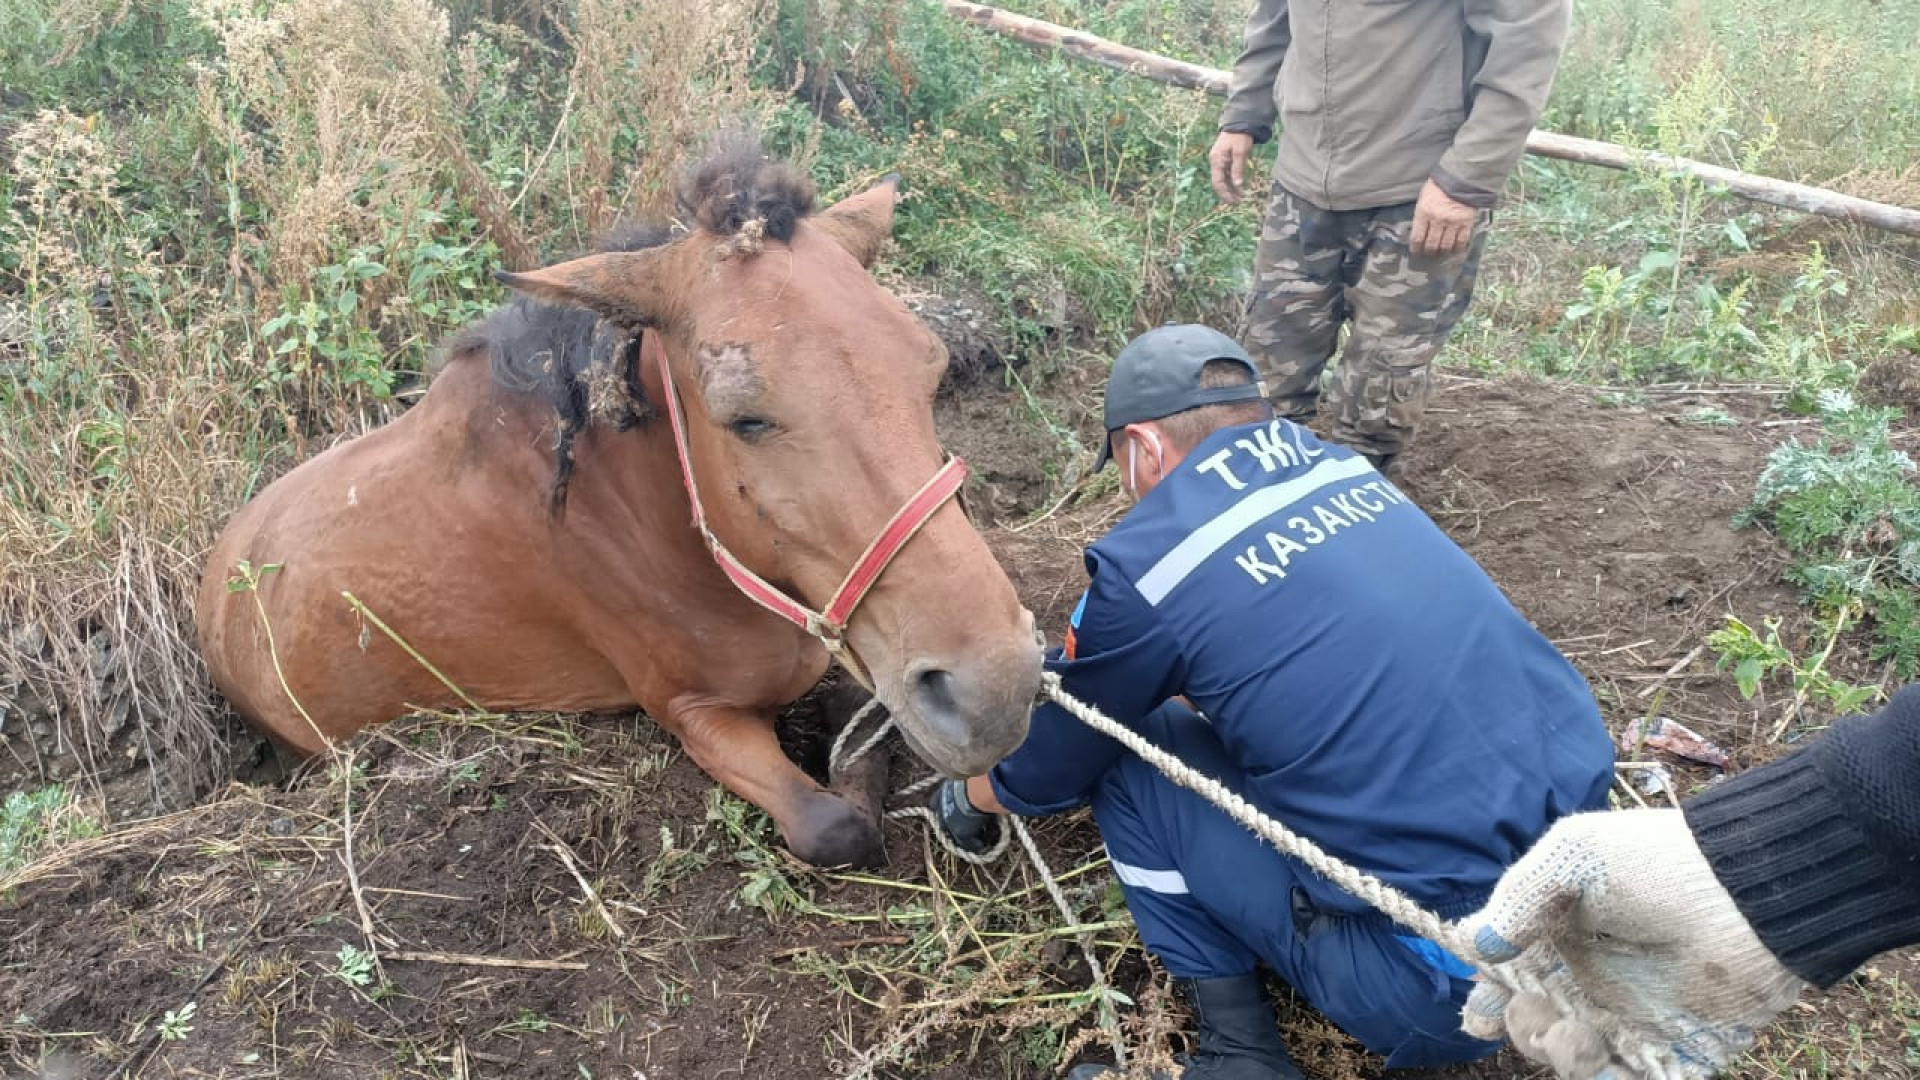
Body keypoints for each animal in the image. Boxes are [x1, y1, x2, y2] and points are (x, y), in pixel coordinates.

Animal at [187, 136, 1044, 864]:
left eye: (931, 369)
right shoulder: (691, 712)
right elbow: (835, 825)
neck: (651, 520)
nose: (994, 690)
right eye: (745, 417)